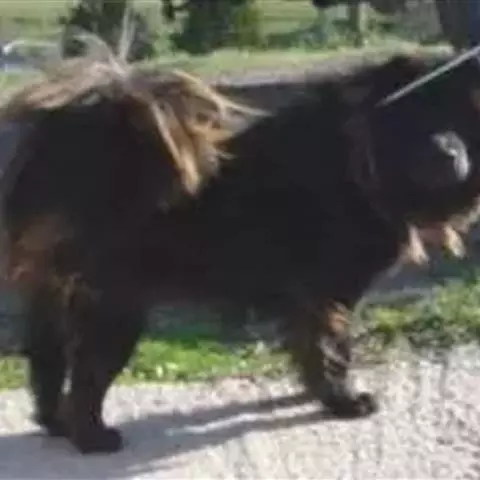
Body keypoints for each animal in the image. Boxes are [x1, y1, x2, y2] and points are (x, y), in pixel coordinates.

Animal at [1, 46, 480, 454]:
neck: (359, 160)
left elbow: (314, 350)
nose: (446, 151)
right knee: (87, 375)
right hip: (114, 304)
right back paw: (92, 438)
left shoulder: (312, 299)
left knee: (47, 364)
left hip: (55, 299)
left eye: (462, 118)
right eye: (413, 119)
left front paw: (317, 395)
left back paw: (56, 423)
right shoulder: (327, 291)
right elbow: (331, 349)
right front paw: (343, 402)